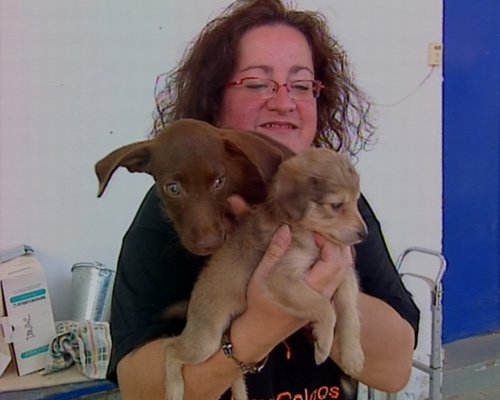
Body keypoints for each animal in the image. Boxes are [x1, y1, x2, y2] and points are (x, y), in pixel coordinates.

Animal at [162, 147, 367, 400]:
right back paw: (174, 389)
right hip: (206, 341)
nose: (364, 234)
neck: (308, 234)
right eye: (336, 205)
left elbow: (349, 313)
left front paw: (352, 355)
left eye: (357, 201)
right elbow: (325, 308)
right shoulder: (279, 279)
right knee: (169, 348)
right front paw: (324, 344)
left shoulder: (345, 273)